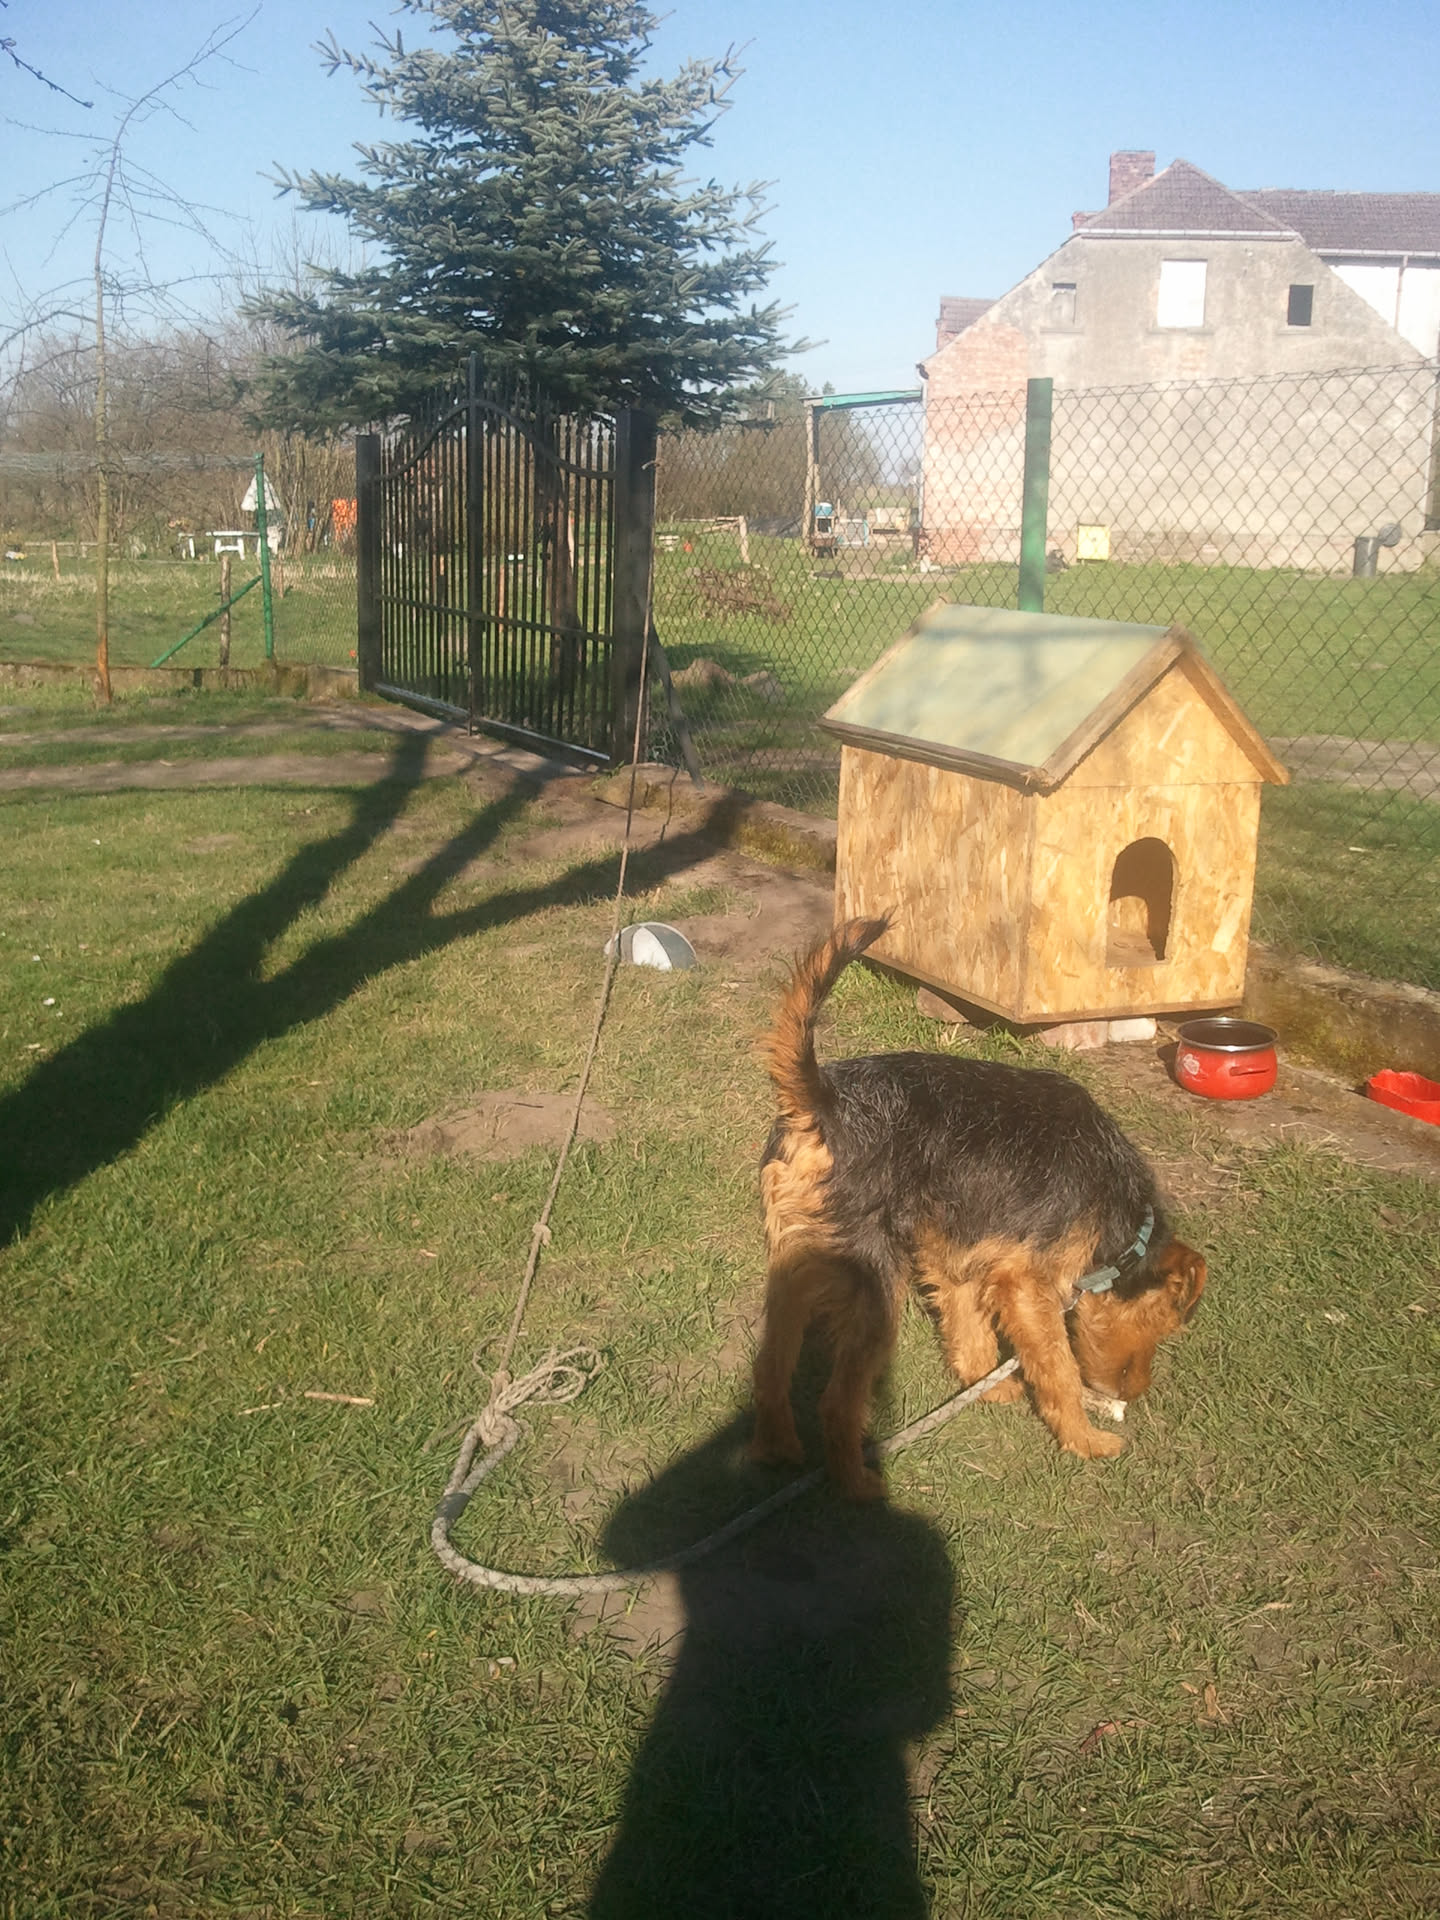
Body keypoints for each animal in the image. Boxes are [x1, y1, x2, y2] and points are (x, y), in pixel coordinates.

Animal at [750, 918, 1206, 1499]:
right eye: (1166, 1327)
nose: (1135, 1392)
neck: (1120, 1215)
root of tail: (821, 1102)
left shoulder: (958, 1261)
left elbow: (970, 1332)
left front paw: (984, 1387)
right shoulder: (1029, 1287)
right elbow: (1058, 1369)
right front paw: (1084, 1439)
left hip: (795, 1265)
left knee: (771, 1365)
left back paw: (778, 1447)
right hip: (873, 1285)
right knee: (836, 1402)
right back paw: (858, 1485)